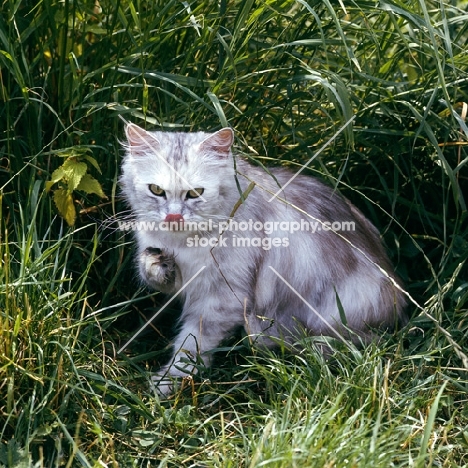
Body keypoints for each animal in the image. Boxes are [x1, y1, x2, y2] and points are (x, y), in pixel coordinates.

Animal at [119, 122, 406, 394]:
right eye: (156, 190)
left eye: (195, 193)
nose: (173, 217)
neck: (182, 242)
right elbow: (151, 269)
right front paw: (157, 265)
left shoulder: (222, 299)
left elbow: (191, 346)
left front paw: (167, 383)